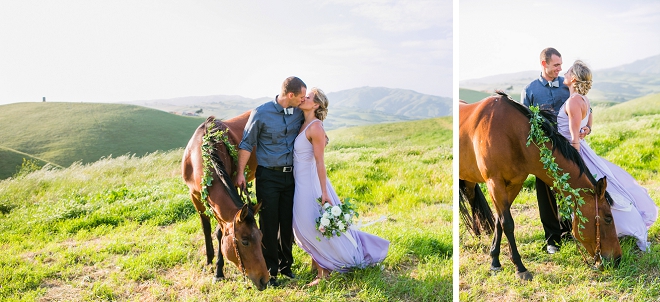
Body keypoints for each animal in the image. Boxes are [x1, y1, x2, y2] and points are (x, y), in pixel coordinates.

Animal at [182, 111, 266, 290]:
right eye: (245, 241)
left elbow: (220, 232)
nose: (265, 279)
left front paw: (219, 272)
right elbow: (205, 228)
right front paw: (209, 261)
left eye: (261, 237)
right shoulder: (195, 196)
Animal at [456, 92, 620, 280]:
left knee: (472, 199)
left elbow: (499, 222)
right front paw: (520, 267)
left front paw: (495, 261)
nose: (618, 259)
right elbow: (508, 223)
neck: (512, 133)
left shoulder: (514, 184)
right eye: (608, 218)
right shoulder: (494, 183)